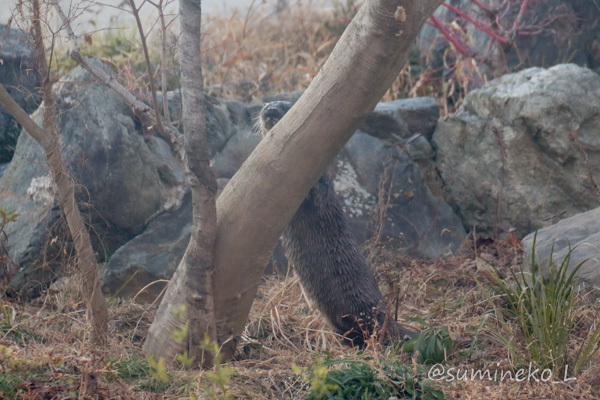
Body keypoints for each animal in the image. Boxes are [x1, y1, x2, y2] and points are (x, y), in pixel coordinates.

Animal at [258, 101, 408, 346]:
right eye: (266, 105)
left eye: (285, 105)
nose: (269, 109)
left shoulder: (325, 185)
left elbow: (321, 194)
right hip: (334, 319)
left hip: (366, 305)